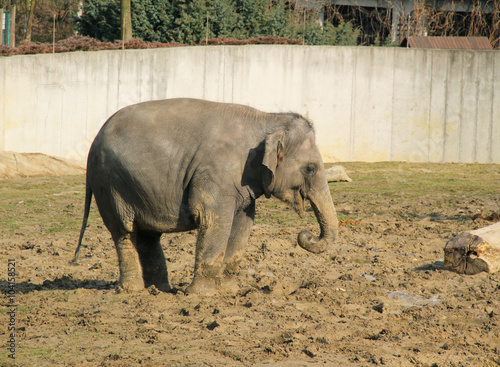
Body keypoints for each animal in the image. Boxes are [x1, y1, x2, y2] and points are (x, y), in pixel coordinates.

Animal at [73, 98, 340, 296]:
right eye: (310, 168)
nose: (306, 234)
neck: (267, 118)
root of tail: (94, 141)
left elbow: (243, 223)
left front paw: (229, 291)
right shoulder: (215, 173)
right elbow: (214, 220)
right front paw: (201, 295)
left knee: (148, 236)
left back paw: (161, 290)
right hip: (110, 185)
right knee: (124, 231)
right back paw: (132, 290)